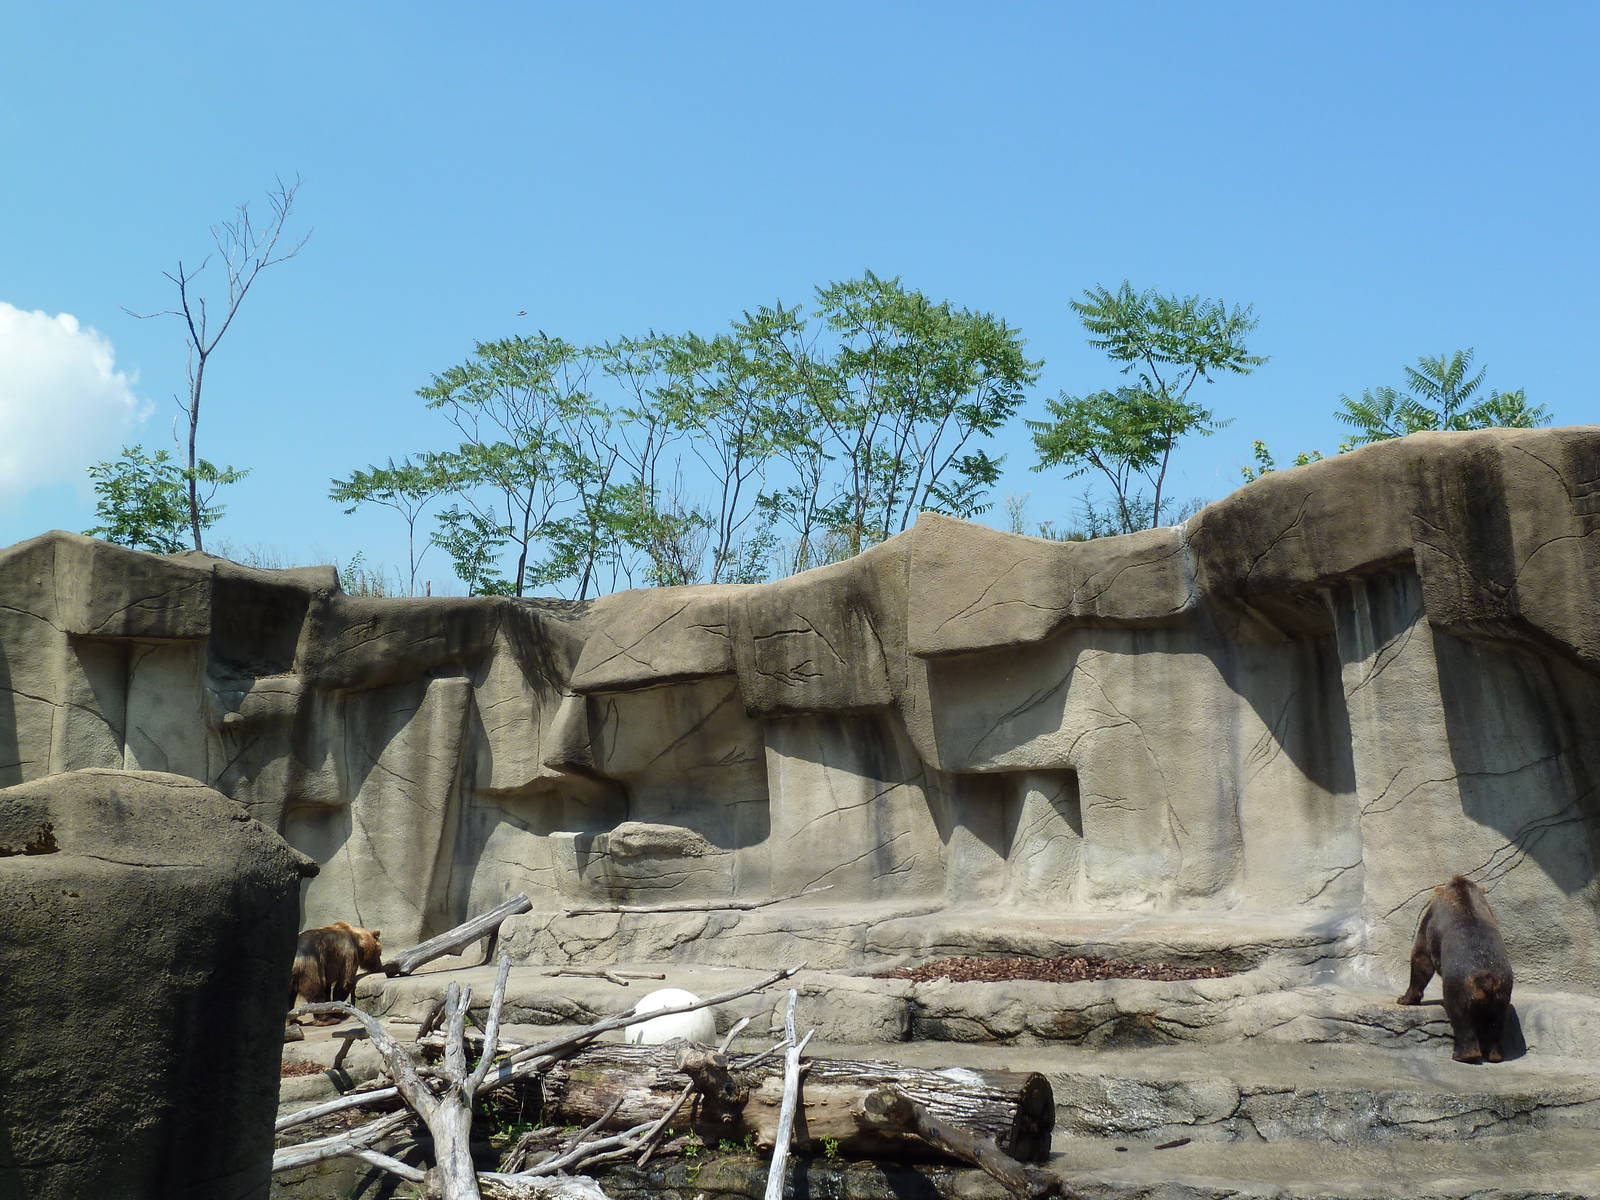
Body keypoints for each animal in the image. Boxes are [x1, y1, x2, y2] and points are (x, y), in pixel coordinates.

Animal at [1396, 876, 1514, 1063]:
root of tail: (1486, 978)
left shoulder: (1431, 922)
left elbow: (1421, 958)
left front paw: (1404, 998)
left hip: (1459, 984)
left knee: (1461, 1016)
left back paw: (1462, 1054)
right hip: (1503, 988)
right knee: (1496, 1021)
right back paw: (1495, 1054)